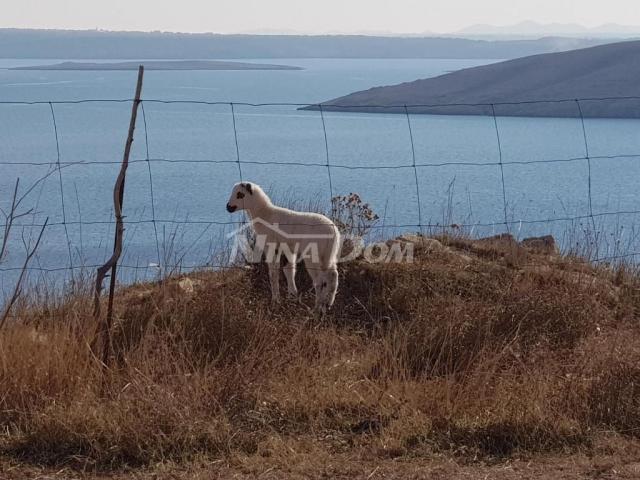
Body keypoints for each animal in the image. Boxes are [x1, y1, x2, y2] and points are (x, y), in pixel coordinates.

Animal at [228, 181, 342, 316]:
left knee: (319, 281)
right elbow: (289, 271)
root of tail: (333, 232)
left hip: (313, 254)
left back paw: (317, 308)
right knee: (333, 274)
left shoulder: (271, 246)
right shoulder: (288, 250)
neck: (264, 214)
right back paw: (328, 303)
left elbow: (273, 274)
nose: (228, 207)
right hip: (328, 254)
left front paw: (275, 301)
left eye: (240, 194)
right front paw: (292, 296)